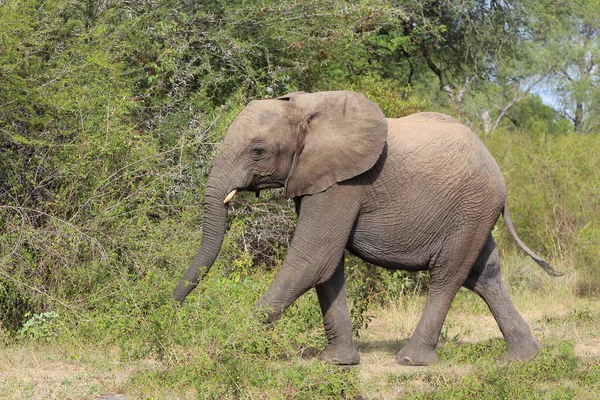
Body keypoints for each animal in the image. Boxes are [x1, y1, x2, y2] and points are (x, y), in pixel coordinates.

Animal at [171, 90, 560, 366]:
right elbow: (328, 267)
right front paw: (337, 362)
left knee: (447, 276)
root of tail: (497, 170)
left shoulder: (344, 183)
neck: (306, 108)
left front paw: (228, 344)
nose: (171, 309)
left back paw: (411, 360)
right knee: (484, 275)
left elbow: (314, 259)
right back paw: (520, 359)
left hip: (471, 207)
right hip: (476, 212)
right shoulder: (318, 178)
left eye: (257, 150)